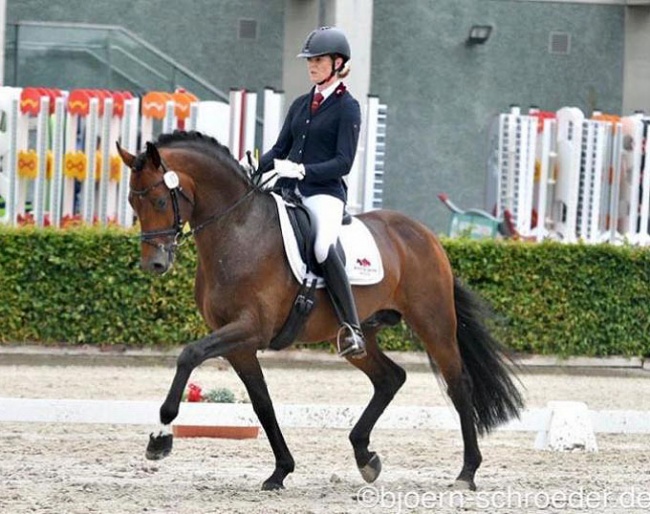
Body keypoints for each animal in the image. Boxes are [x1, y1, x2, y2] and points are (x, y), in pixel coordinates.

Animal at [115, 130, 520, 490]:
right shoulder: (239, 345)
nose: (154, 264)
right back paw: (365, 457)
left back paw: (467, 472)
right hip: (359, 335)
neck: (238, 231)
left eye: (160, 201)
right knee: (389, 378)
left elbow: (189, 354)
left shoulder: (250, 329)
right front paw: (280, 471)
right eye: (133, 204)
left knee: (458, 383)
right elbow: (263, 403)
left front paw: (159, 437)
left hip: (433, 323)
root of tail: (425, 235)